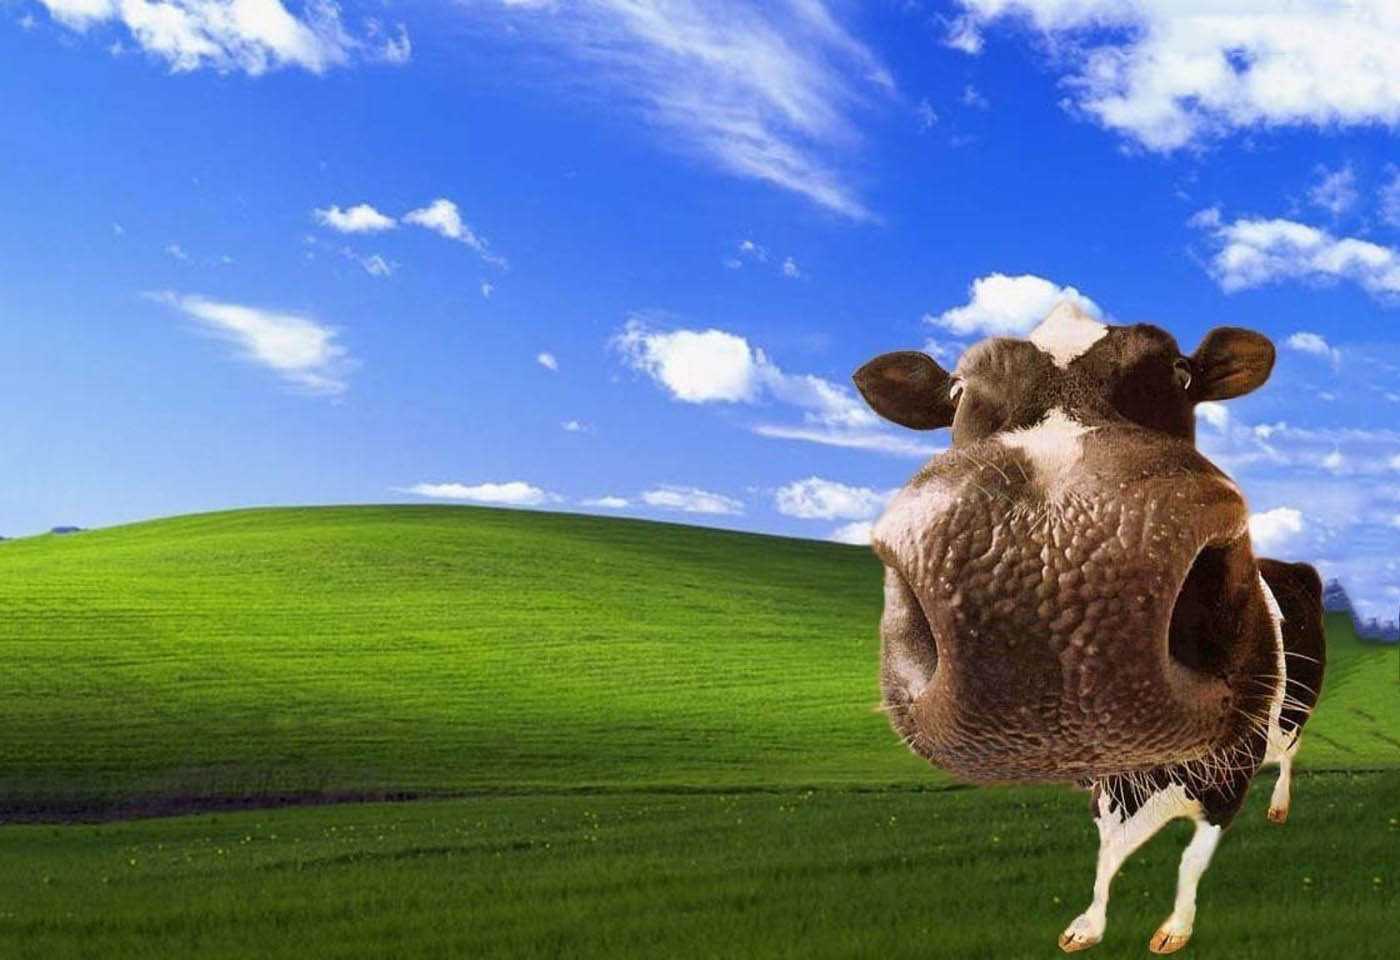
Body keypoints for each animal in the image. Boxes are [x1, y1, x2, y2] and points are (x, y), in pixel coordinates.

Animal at [852, 302, 1326, 954]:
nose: (1051, 569)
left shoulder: (1230, 778)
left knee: (1291, 751)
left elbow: (1189, 863)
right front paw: (1088, 924)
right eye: (956, 392)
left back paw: (1280, 806)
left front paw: (1174, 929)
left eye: (1180, 372)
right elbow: (1106, 858)